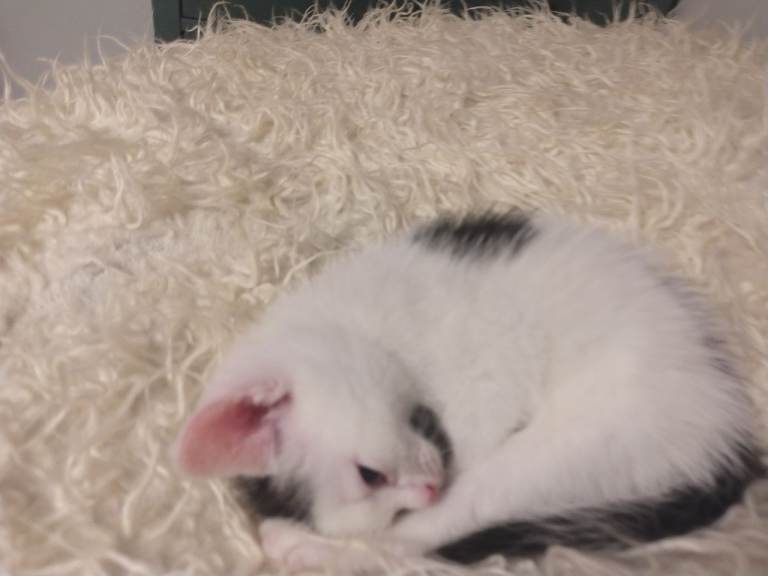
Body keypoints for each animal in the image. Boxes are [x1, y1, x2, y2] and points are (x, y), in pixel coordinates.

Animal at [175, 212, 762, 570]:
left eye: (369, 474)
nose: (430, 487)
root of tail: (728, 430)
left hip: (588, 435)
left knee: (421, 542)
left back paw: (295, 544)